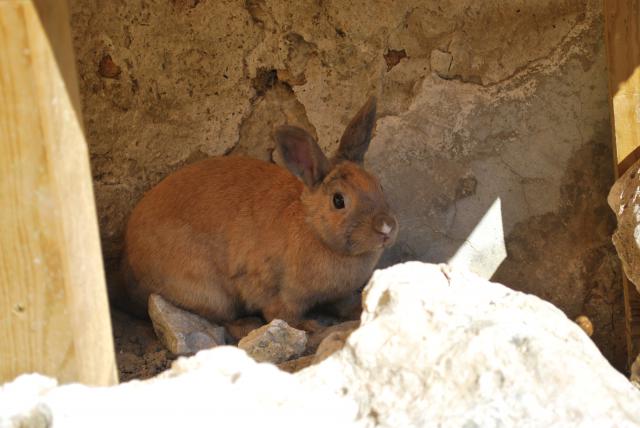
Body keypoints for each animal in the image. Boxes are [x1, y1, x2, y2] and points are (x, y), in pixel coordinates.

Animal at [121, 96, 396, 332]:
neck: (314, 229)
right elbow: (282, 314)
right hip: (210, 293)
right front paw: (309, 326)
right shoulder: (279, 293)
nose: (386, 228)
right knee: (223, 319)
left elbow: (344, 303)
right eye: (338, 201)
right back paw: (247, 325)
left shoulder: (339, 294)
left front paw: (360, 309)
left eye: (379, 185)